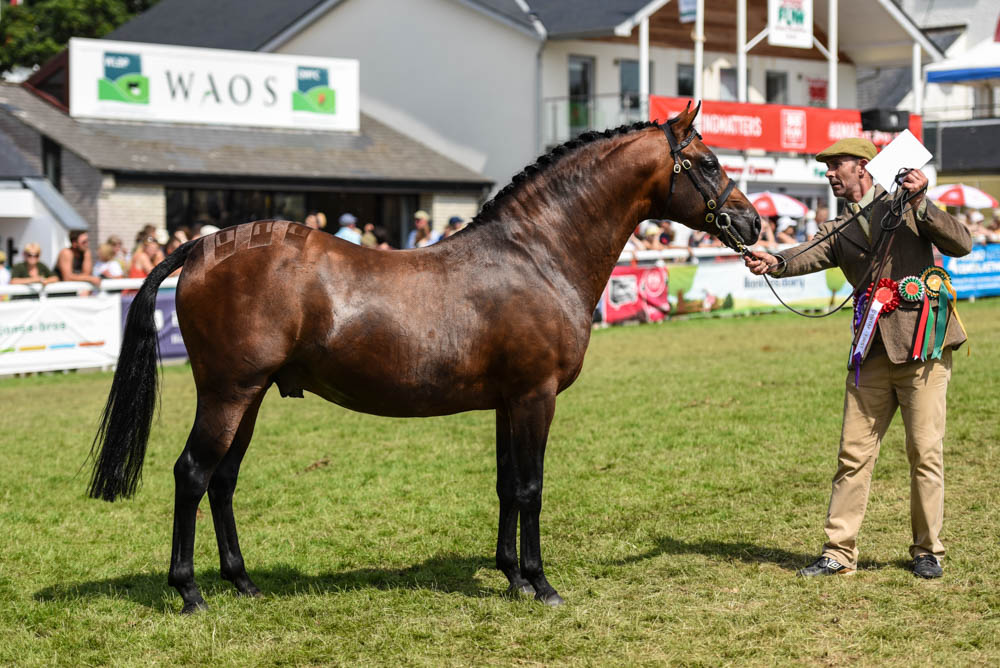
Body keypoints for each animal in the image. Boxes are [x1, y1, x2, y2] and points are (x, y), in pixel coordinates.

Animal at [90, 104, 756, 612]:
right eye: (708, 162)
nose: (751, 221)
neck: (537, 255)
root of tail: (203, 246)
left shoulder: (508, 403)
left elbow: (506, 484)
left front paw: (512, 576)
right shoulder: (535, 397)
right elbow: (532, 487)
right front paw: (541, 584)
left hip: (249, 397)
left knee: (223, 480)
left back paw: (243, 582)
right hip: (228, 394)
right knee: (192, 475)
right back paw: (190, 592)